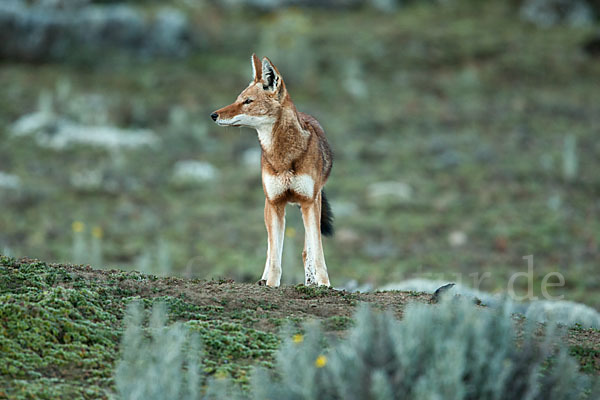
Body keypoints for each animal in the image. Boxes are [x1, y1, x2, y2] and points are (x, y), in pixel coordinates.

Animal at [210, 54, 332, 288]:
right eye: (238, 99)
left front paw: (324, 284)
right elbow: (275, 255)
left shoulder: (309, 202)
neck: (283, 156)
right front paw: (271, 285)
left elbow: (317, 252)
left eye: (247, 101)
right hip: (269, 207)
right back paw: (264, 279)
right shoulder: (275, 203)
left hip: (312, 204)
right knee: (270, 248)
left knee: (307, 250)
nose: (213, 115)